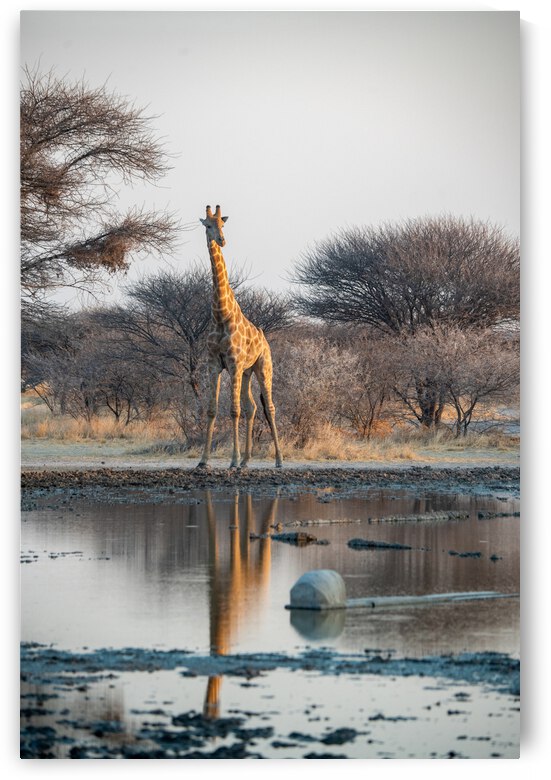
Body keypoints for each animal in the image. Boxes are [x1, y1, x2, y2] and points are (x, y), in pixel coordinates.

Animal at [197, 204, 283, 469]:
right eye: (208, 225)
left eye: (223, 224)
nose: (222, 240)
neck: (220, 314)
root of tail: (265, 340)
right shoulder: (214, 364)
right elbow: (212, 410)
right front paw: (203, 460)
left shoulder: (233, 363)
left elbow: (233, 410)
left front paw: (232, 460)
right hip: (247, 372)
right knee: (251, 407)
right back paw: (246, 460)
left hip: (263, 366)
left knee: (269, 407)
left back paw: (278, 460)